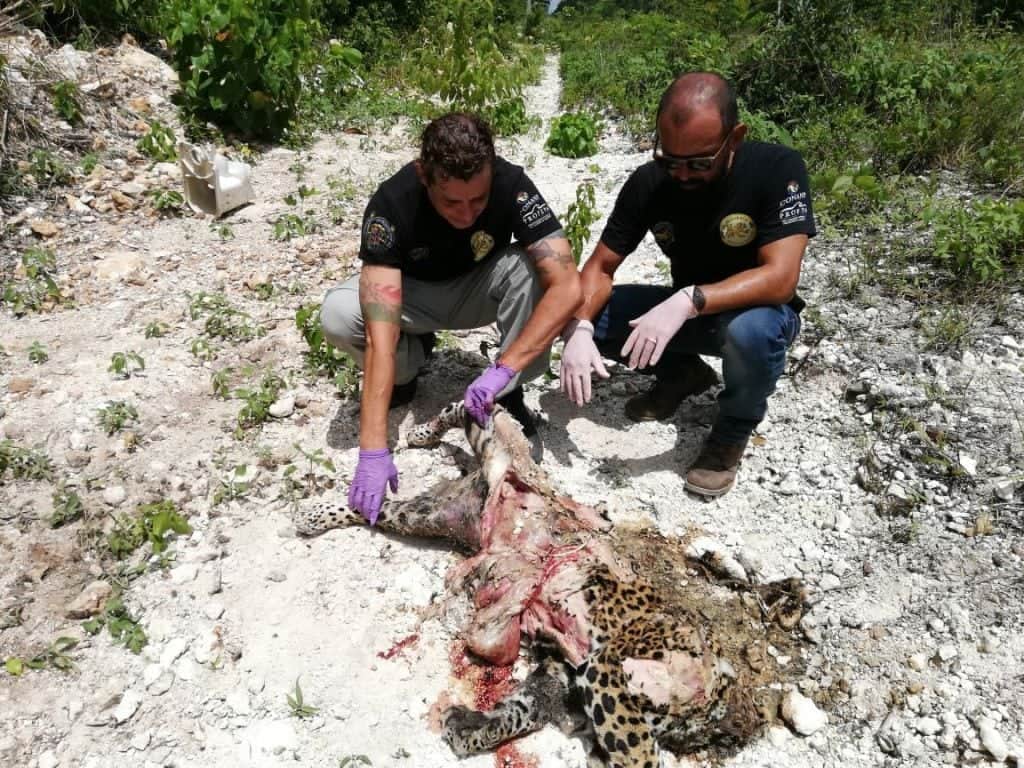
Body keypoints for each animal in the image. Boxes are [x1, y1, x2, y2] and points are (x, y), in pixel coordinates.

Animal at [295, 403, 807, 768]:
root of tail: (484, 485)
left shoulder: (568, 674)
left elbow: (521, 710)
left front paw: (467, 729)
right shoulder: (594, 670)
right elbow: (625, 747)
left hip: (441, 512)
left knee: (387, 500)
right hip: (481, 467)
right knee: (469, 412)